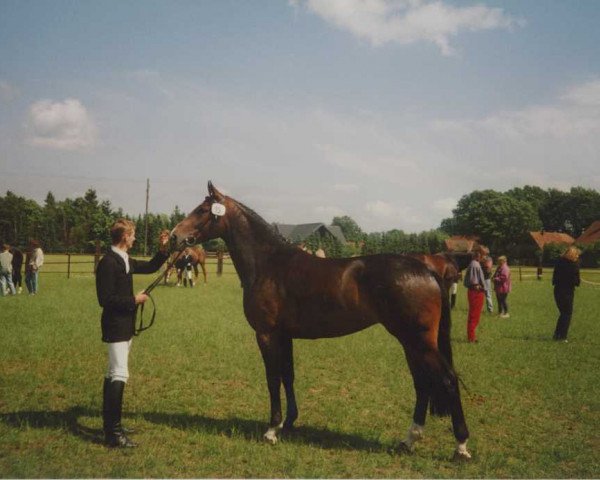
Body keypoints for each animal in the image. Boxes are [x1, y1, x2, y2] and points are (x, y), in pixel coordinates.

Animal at [171, 182, 472, 460]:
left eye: (202, 210)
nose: (175, 236)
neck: (269, 263)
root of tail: (428, 269)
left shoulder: (266, 334)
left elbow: (272, 378)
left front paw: (271, 430)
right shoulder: (284, 335)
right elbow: (288, 375)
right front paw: (288, 422)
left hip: (418, 341)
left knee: (447, 380)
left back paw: (461, 447)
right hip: (411, 342)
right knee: (422, 383)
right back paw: (409, 440)